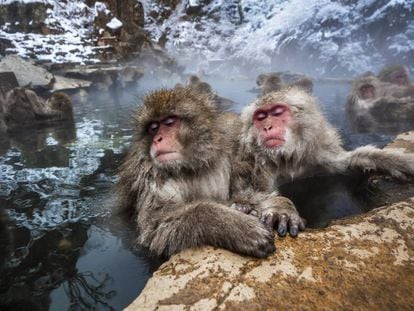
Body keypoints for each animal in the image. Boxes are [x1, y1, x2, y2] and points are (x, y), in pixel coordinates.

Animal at [116, 87, 304, 258]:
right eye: (153, 127)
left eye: (169, 122)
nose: (157, 139)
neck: (193, 164)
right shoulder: (148, 171)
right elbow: (158, 225)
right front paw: (236, 226)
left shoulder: (233, 138)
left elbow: (252, 188)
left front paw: (277, 207)